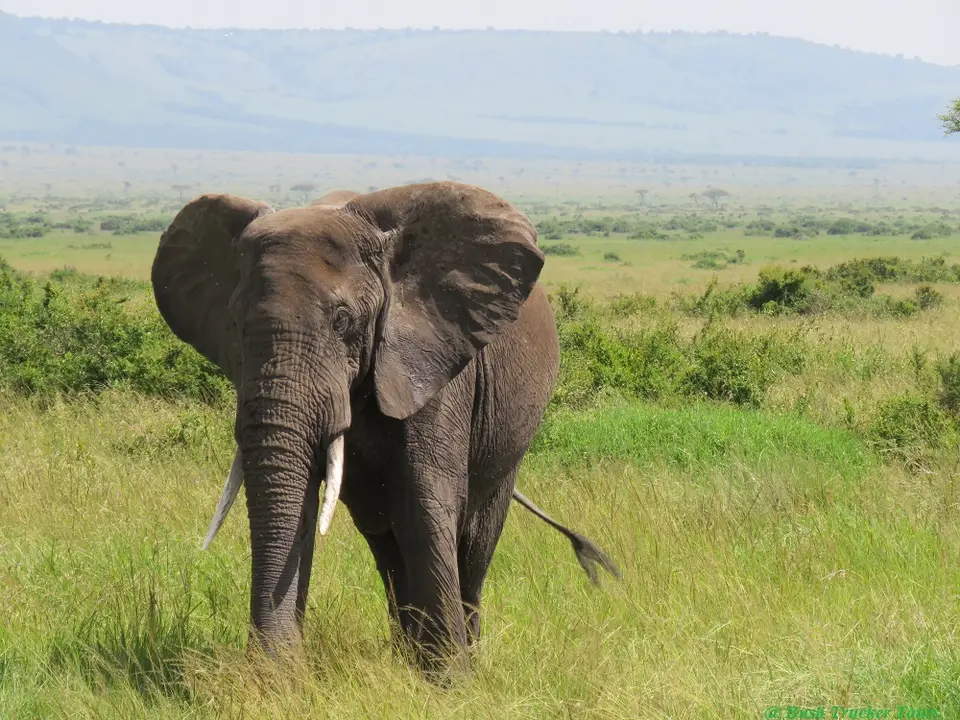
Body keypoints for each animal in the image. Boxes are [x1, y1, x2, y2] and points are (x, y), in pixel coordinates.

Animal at [150, 180, 619, 678]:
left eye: (343, 320)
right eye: (236, 324)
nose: (266, 668)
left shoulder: (430, 356)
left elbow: (423, 500)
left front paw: (452, 682)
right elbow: (304, 503)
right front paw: (280, 678)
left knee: (474, 539)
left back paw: (462, 653)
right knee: (384, 536)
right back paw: (410, 656)